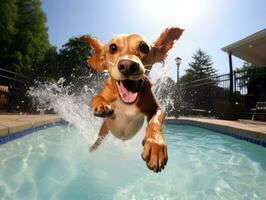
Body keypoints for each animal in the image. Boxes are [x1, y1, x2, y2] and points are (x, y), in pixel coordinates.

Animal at [83, 27, 183, 173]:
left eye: (144, 47)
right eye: (112, 47)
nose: (128, 65)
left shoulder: (157, 108)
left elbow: (155, 121)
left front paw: (156, 145)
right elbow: (97, 97)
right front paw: (102, 105)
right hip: (104, 129)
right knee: (100, 138)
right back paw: (93, 147)